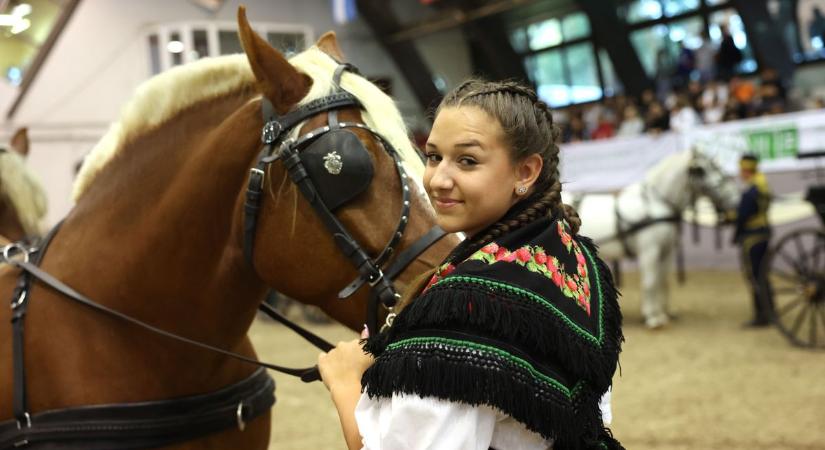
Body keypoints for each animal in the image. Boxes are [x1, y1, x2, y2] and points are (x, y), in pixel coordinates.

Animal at [564, 149, 736, 328]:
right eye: (701, 170)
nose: (734, 199)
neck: (657, 205)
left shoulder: (667, 251)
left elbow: (663, 281)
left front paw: (665, 313)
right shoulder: (650, 251)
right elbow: (650, 282)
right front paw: (652, 317)